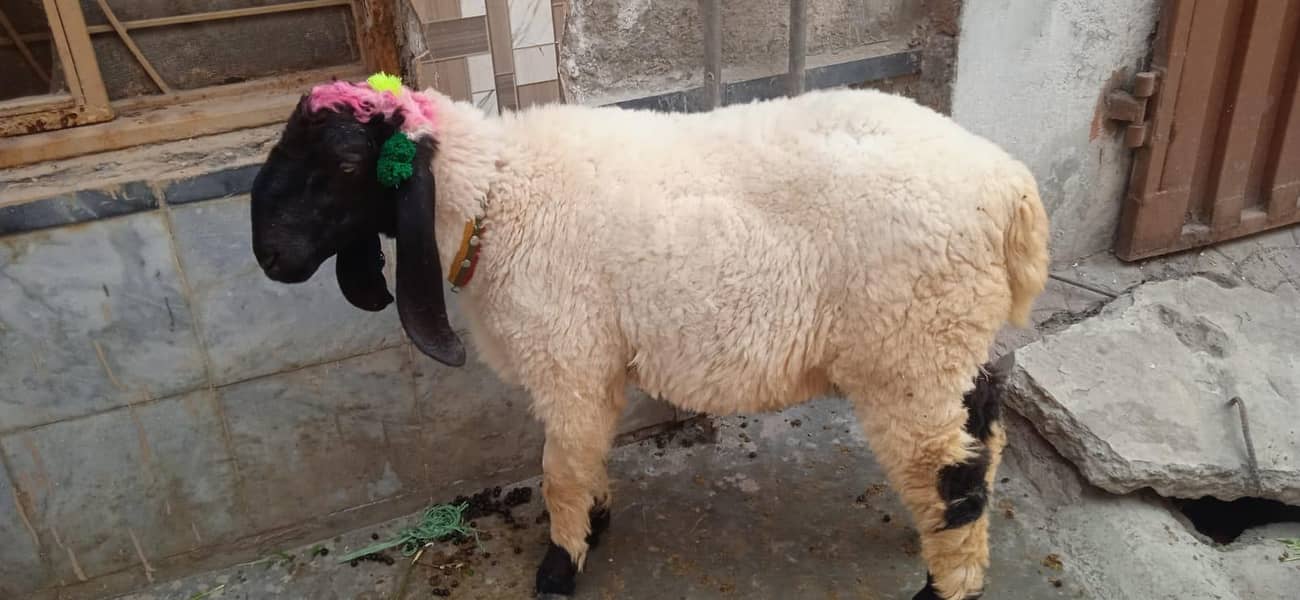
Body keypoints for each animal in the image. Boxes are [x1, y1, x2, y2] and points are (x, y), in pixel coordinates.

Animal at [249, 74, 1049, 600]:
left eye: (345, 164)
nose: (270, 258)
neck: (499, 196)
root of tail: (1011, 189)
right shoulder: (592, 367)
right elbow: (583, 457)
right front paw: (595, 522)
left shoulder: (567, 357)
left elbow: (560, 468)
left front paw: (560, 566)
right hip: (957, 346)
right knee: (980, 444)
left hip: (911, 350)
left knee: (951, 475)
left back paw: (944, 583)